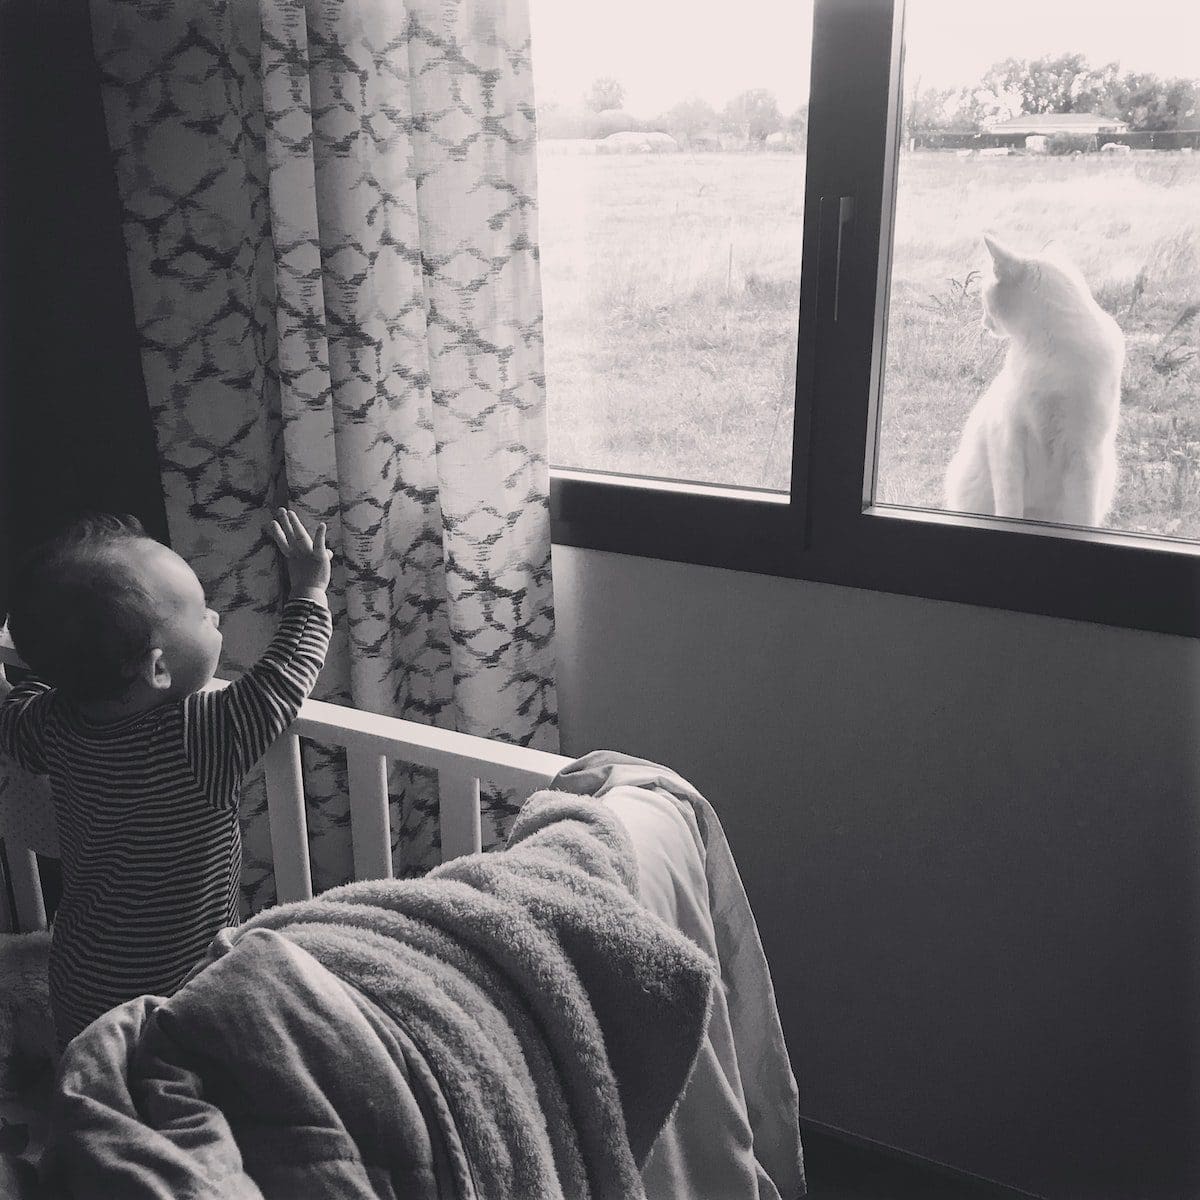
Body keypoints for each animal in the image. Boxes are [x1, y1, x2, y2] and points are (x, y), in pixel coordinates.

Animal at [945, 236, 1123, 528]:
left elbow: (1081, 517)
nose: (983, 322)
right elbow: (1009, 508)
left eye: (984, 297)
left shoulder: (1084, 452)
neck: (1050, 355)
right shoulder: (1008, 440)